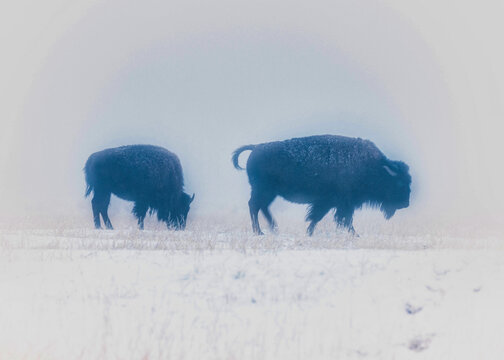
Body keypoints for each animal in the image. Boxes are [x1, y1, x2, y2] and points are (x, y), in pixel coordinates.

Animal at [232, 135, 410, 236]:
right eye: (400, 182)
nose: (406, 204)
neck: (374, 167)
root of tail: (256, 147)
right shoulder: (342, 202)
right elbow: (341, 219)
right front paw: (355, 235)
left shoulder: (334, 203)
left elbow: (320, 217)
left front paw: (309, 232)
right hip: (263, 190)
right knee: (254, 206)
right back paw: (260, 232)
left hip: (269, 192)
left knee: (262, 207)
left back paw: (274, 228)